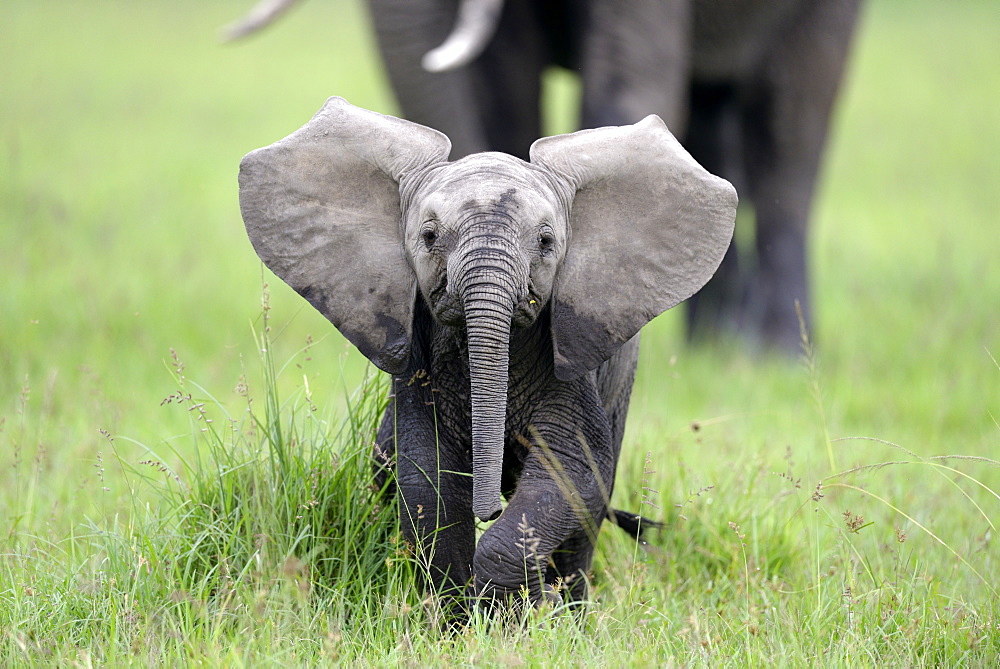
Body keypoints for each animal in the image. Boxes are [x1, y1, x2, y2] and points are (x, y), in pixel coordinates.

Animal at [234, 98, 736, 616]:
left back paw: (570, 612)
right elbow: (427, 474)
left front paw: (511, 610)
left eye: (547, 242)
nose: (490, 508)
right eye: (429, 236)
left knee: (590, 514)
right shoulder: (421, 359)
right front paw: (459, 617)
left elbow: (573, 467)